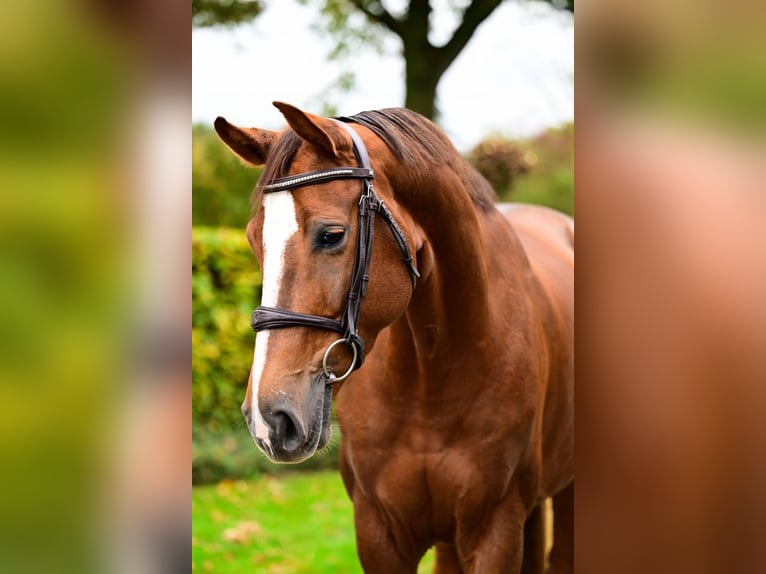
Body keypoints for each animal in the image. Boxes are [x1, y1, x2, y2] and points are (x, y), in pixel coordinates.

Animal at [213, 104, 572, 574]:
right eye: (254, 241)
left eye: (331, 234)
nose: (268, 418)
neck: (430, 378)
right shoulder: (378, 533)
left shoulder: (495, 532)